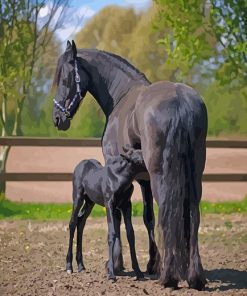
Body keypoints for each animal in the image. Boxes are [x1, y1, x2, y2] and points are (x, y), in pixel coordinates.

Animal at [66, 150, 146, 280]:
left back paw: (81, 265)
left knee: (81, 221)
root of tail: (81, 163)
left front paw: (138, 272)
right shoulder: (109, 205)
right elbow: (112, 233)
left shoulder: (126, 206)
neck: (119, 178)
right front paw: (111, 274)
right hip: (78, 198)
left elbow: (130, 234)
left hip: (90, 202)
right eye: (139, 158)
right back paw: (69, 266)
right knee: (72, 223)